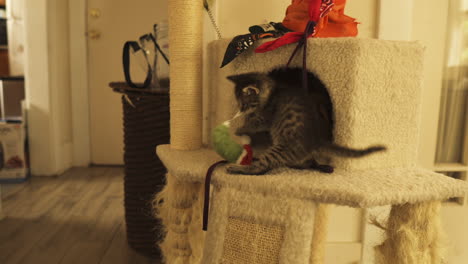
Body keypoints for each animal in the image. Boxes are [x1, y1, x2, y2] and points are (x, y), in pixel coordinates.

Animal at [226, 67, 384, 175]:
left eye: (244, 104)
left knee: (260, 168)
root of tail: (316, 140)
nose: (240, 110)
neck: (273, 90)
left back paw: (237, 168)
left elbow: (255, 124)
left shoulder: (267, 117)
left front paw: (240, 129)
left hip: (282, 147)